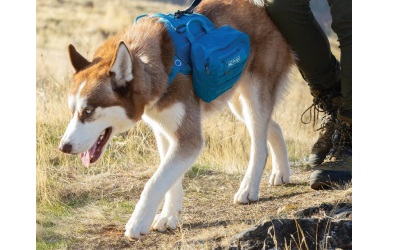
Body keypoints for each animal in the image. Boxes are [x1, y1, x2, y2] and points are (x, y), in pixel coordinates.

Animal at [57, 0, 292, 238]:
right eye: (72, 110)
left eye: (88, 111)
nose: (63, 147)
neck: (159, 65)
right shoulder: (165, 131)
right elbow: (169, 179)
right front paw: (170, 216)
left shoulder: (189, 139)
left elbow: (154, 182)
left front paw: (138, 222)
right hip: (238, 103)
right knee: (273, 127)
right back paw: (281, 172)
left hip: (253, 96)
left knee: (259, 145)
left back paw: (249, 188)